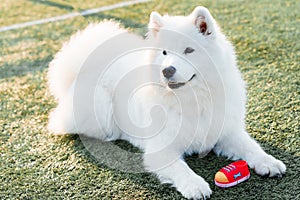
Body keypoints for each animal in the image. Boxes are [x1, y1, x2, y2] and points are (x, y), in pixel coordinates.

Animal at [48, 6, 286, 200]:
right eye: (164, 52)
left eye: (189, 50)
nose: (167, 70)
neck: (193, 99)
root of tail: (84, 67)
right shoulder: (162, 149)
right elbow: (181, 169)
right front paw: (195, 185)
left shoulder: (226, 132)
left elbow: (251, 147)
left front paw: (268, 162)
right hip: (101, 114)